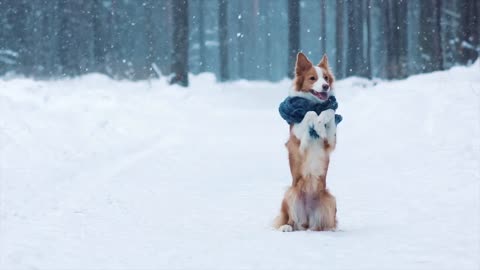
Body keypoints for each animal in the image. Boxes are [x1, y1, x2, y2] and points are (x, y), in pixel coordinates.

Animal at [274, 52, 338, 232]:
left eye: (326, 78)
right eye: (312, 78)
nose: (325, 86)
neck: (315, 104)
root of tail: (308, 220)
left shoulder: (330, 142)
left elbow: (329, 111)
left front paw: (321, 123)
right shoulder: (299, 142)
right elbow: (309, 114)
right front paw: (317, 123)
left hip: (330, 199)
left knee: (323, 224)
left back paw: (329, 229)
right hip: (290, 193)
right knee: (292, 221)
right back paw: (287, 227)